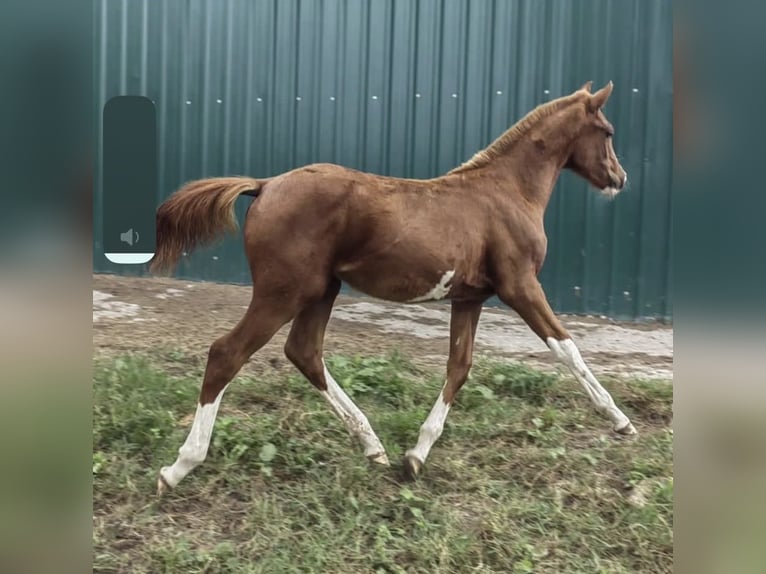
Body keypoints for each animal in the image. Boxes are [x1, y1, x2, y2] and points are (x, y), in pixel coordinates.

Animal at [152, 81, 635, 495]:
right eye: (608, 132)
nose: (620, 178)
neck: (507, 191)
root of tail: (266, 185)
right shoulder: (520, 286)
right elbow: (566, 347)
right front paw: (620, 420)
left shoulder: (469, 298)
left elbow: (459, 367)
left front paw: (415, 456)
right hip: (283, 291)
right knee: (227, 353)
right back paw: (178, 467)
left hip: (321, 290)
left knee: (304, 352)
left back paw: (373, 447)